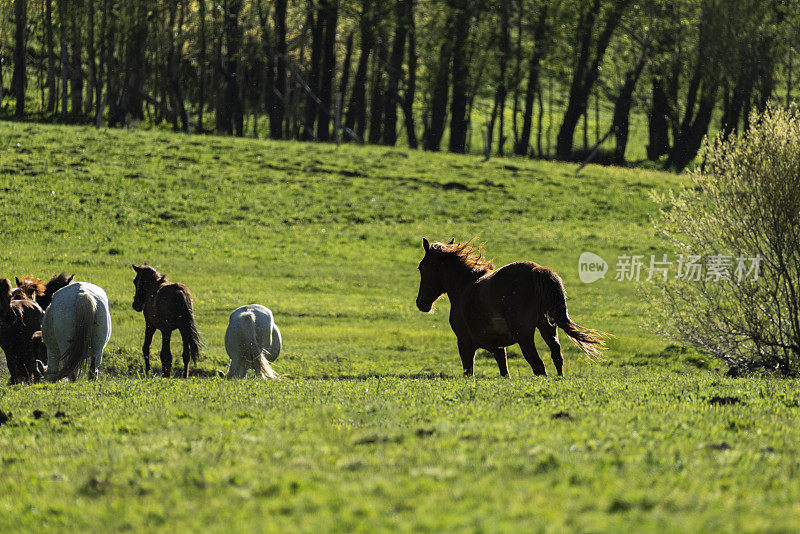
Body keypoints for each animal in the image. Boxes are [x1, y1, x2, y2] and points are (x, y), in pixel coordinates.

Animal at [416, 241, 604, 378]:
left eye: (421, 267)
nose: (421, 303)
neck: (464, 285)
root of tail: (537, 270)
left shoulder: (464, 343)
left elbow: (469, 372)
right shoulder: (498, 347)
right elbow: (504, 372)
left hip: (524, 335)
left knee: (538, 365)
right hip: (548, 328)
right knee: (557, 357)